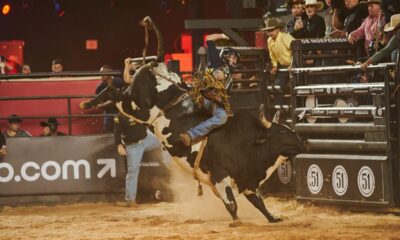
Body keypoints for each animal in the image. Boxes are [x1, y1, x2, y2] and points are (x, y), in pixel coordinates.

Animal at [79, 16, 308, 223]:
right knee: (115, 94)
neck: (250, 143)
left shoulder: (247, 183)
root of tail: (156, 64)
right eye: (281, 131)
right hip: (136, 106)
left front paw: (274, 218)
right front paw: (236, 221)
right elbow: (232, 205)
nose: (303, 142)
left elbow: (260, 204)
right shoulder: (219, 176)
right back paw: (89, 103)